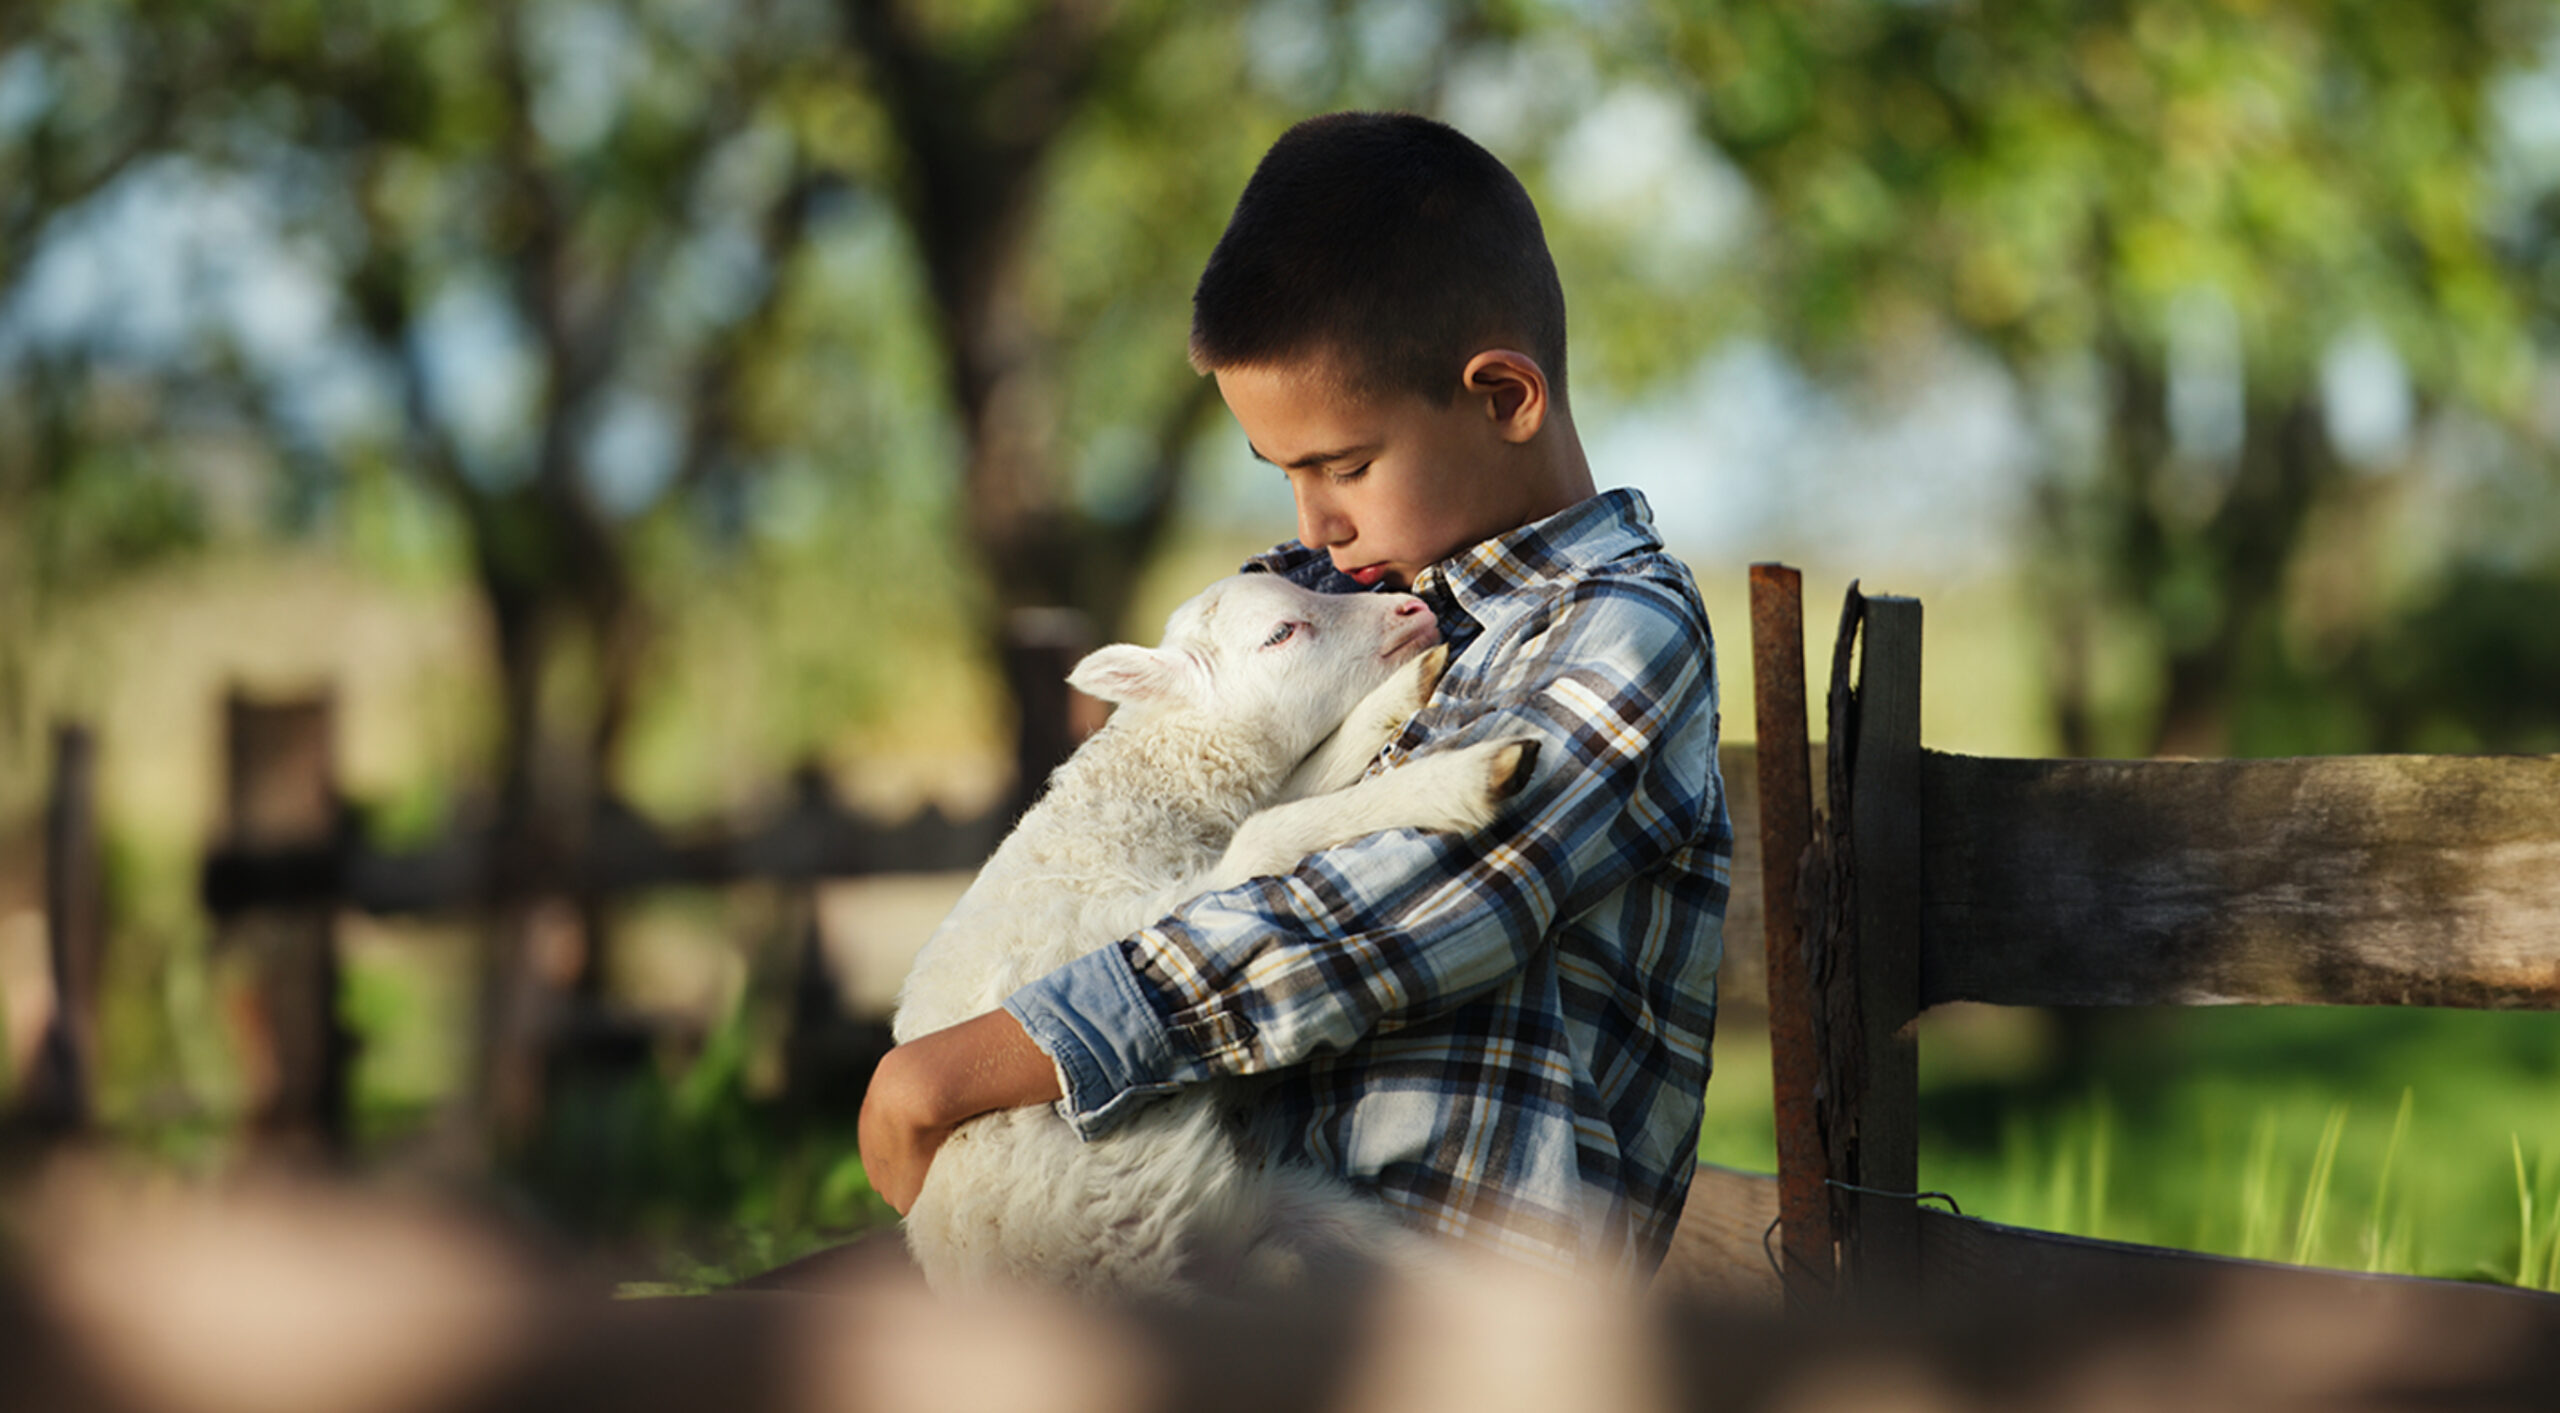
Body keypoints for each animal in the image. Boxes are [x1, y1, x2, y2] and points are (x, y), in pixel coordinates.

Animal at [901, 568, 1536, 1295]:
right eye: (1281, 633)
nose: (1411, 608)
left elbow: (1295, 788)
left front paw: (1404, 690)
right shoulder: (1124, 927)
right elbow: (1271, 826)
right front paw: (1469, 776)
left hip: (1301, 1207)